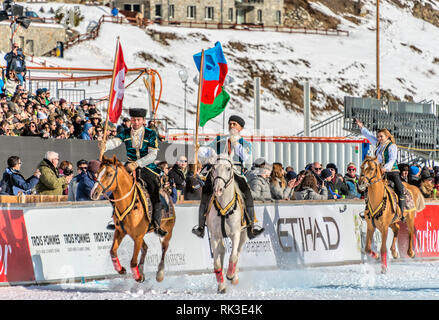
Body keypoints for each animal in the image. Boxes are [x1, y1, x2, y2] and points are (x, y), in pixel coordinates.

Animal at [205, 154, 248, 294]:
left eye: (229, 168)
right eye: (213, 168)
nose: (218, 189)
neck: (224, 208)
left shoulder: (236, 234)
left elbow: (233, 256)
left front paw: (230, 275)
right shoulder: (215, 236)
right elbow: (217, 262)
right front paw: (221, 286)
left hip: (244, 234)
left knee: (238, 252)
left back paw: (234, 277)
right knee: (222, 252)